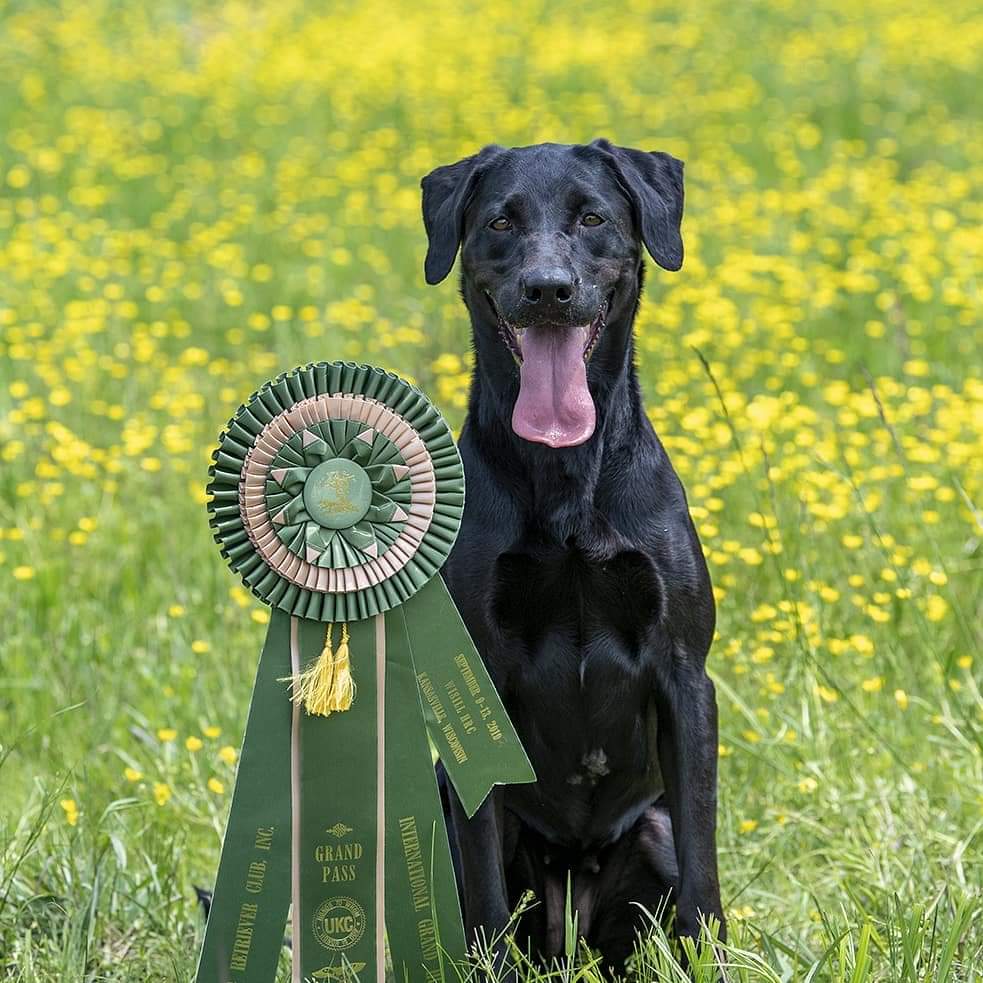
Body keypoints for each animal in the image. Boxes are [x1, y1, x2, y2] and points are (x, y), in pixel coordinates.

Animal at [420, 142, 724, 972]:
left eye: (591, 218)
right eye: (500, 222)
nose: (547, 289)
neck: (565, 479)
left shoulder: (684, 674)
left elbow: (704, 874)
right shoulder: (478, 691)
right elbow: (485, 892)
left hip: (647, 832)